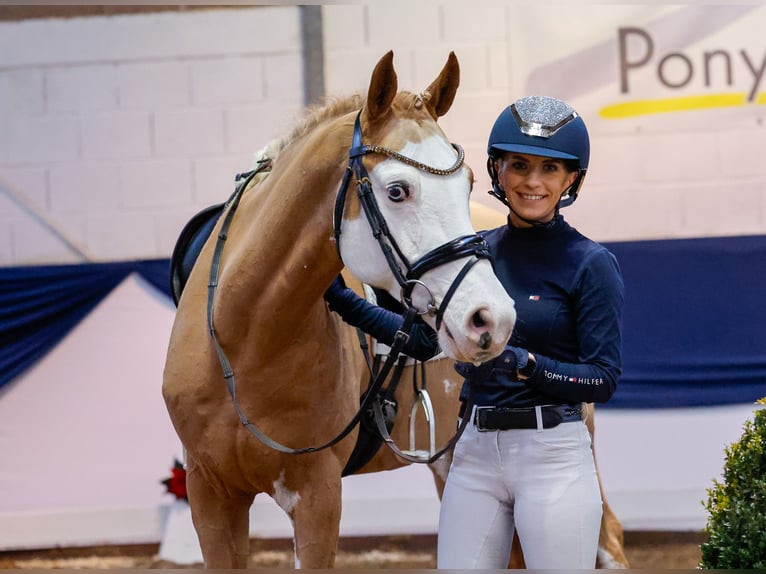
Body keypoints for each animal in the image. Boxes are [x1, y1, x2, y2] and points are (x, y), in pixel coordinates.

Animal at [164, 50, 520, 572]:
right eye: (397, 191)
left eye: (470, 182)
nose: (490, 318)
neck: (245, 337)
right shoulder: (210, 496)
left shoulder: (316, 494)